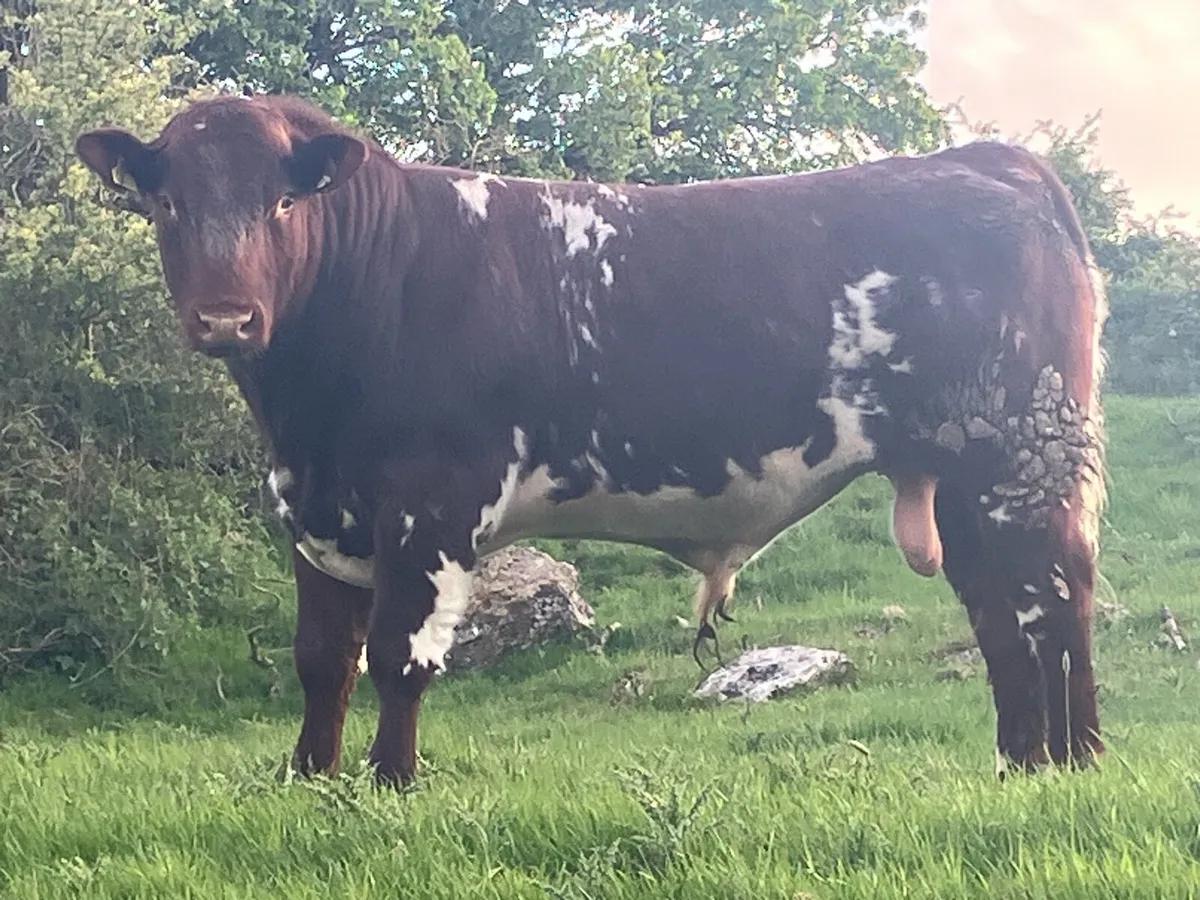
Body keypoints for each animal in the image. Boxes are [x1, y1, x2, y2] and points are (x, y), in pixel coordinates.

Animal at [75, 93, 1109, 786]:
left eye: (282, 205)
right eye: (166, 205)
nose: (224, 319)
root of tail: (992, 162)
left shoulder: (429, 504)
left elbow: (401, 658)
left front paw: (389, 783)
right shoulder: (318, 513)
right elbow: (322, 659)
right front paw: (310, 779)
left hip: (1024, 455)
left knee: (1056, 602)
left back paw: (1076, 762)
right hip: (966, 475)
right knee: (1000, 614)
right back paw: (1021, 764)